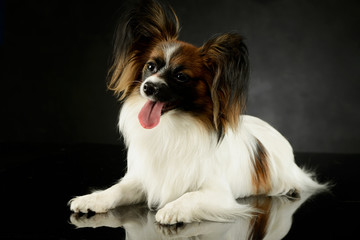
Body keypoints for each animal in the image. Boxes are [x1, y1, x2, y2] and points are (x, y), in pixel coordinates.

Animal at [69, 0, 322, 225]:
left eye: (181, 76)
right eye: (150, 66)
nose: (148, 87)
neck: (171, 127)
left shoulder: (218, 193)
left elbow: (190, 196)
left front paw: (172, 210)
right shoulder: (141, 179)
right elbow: (117, 189)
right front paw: (92, 199)